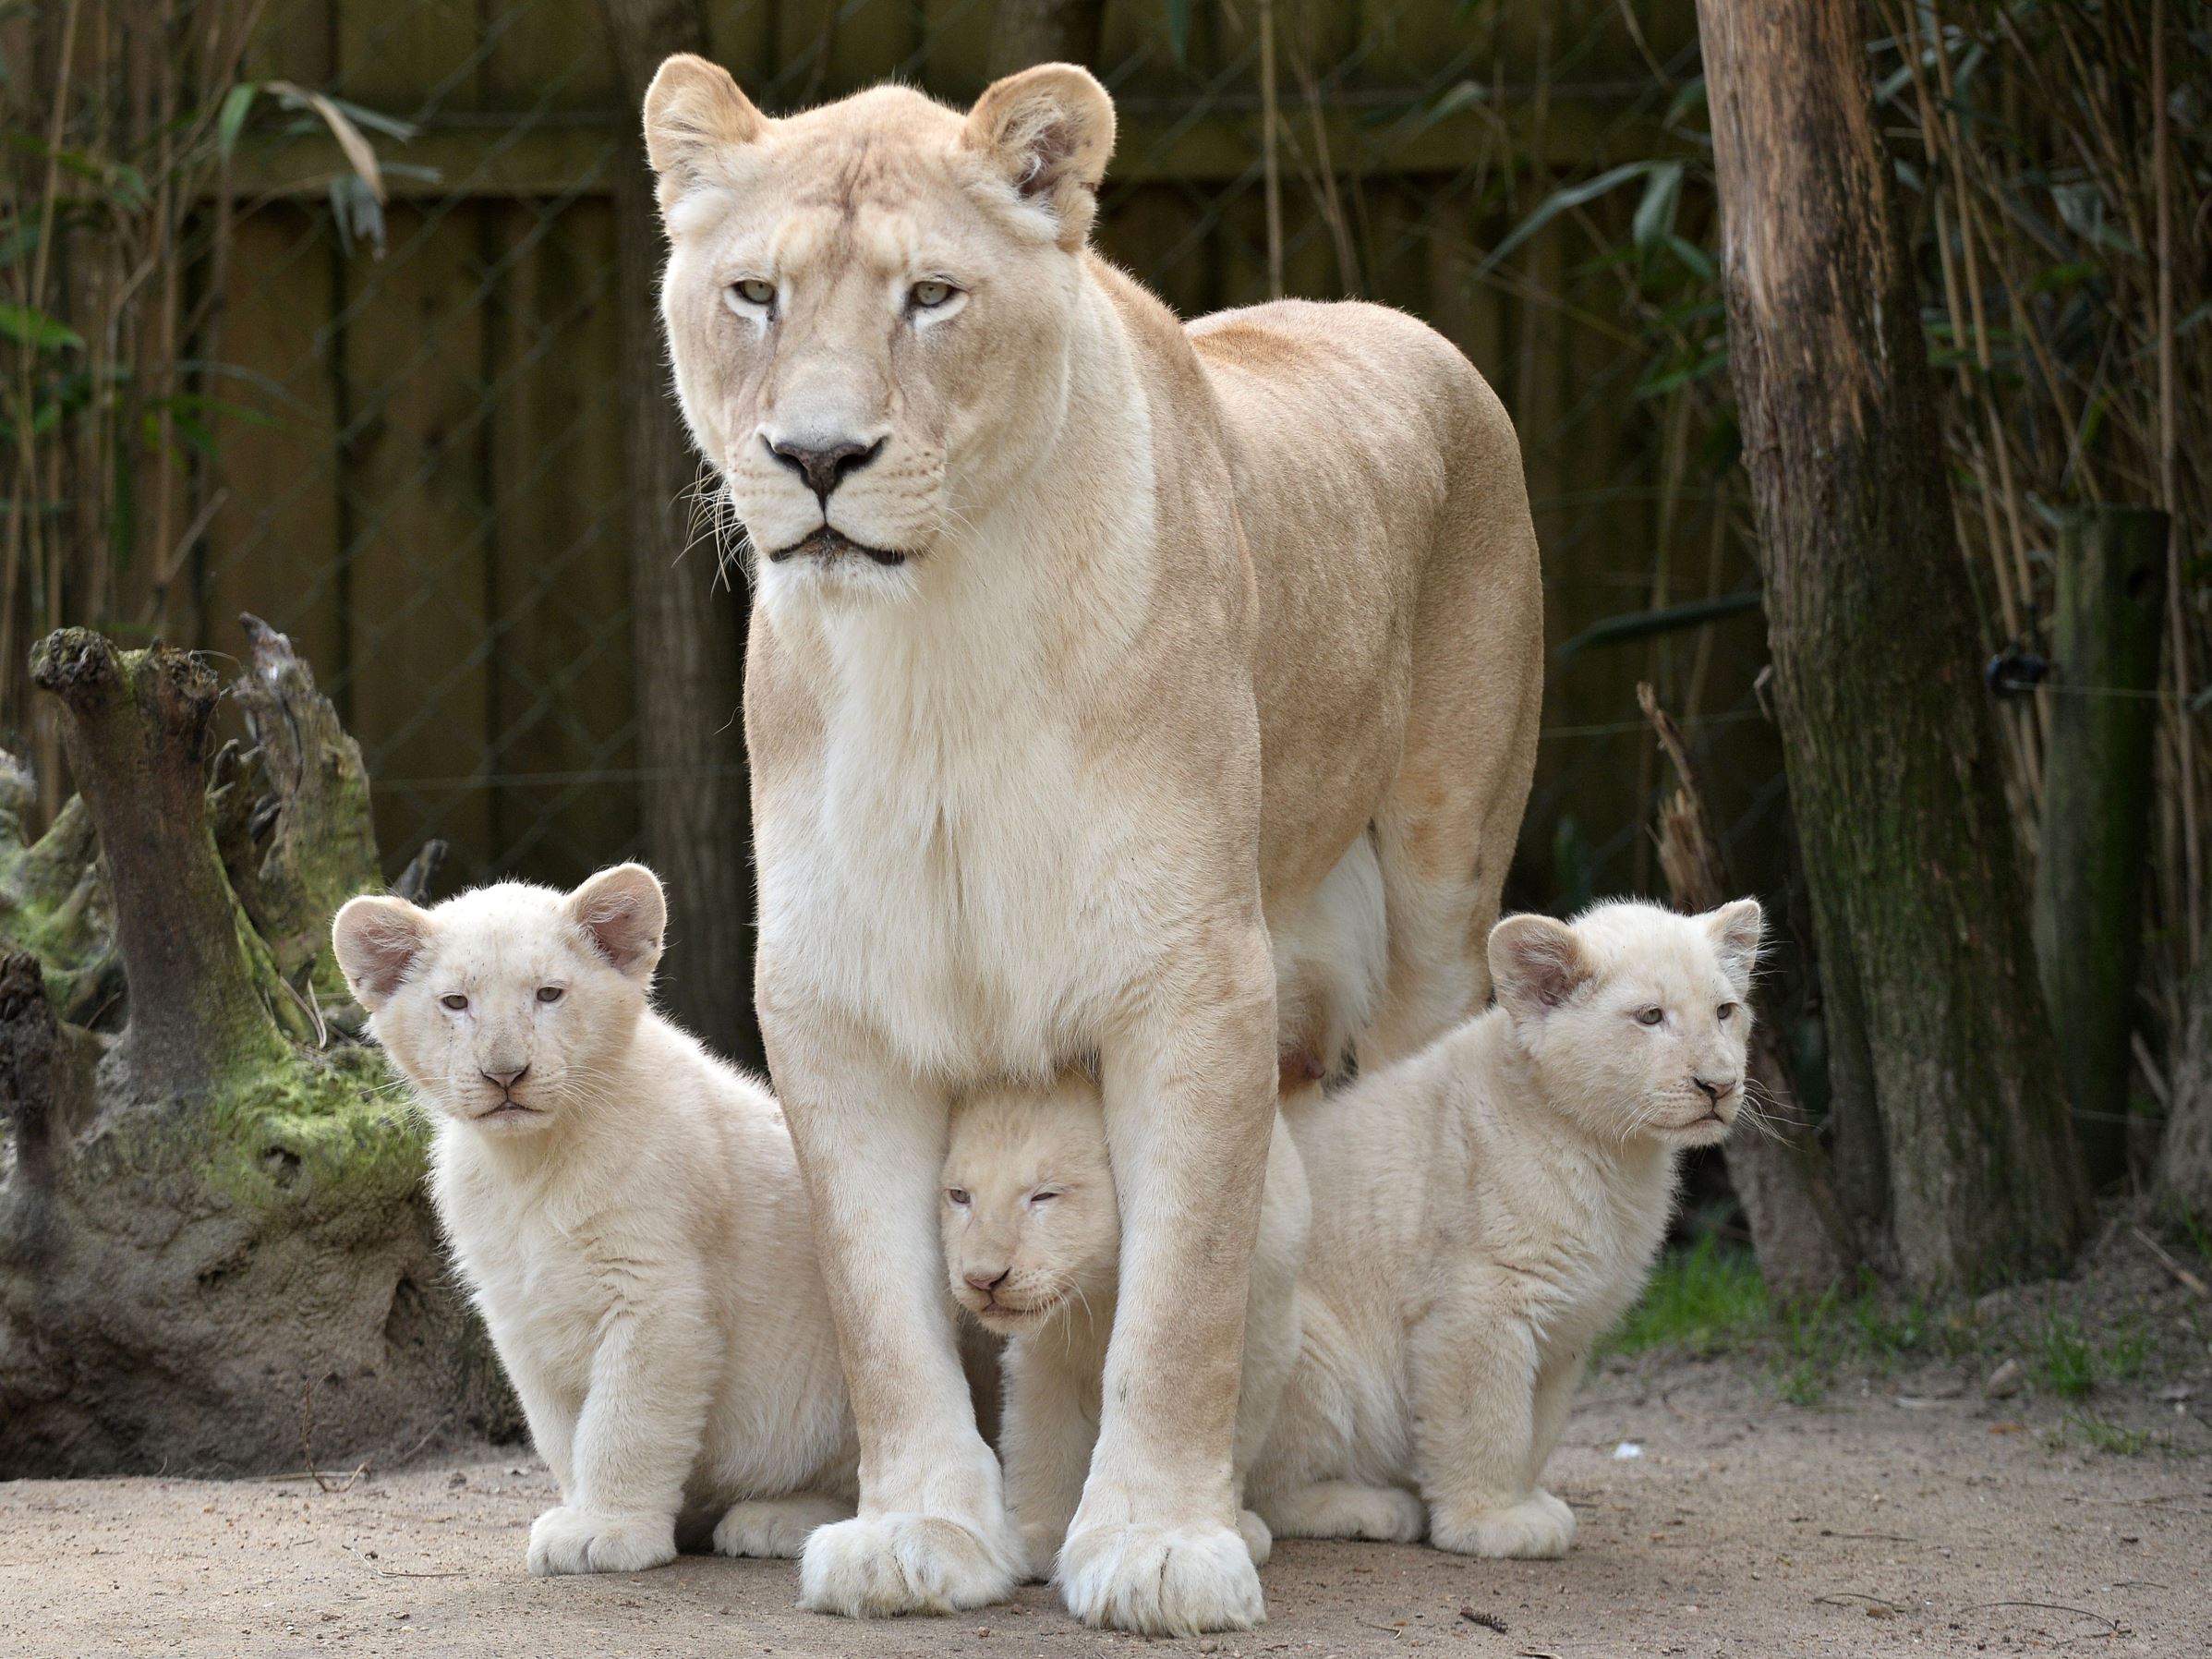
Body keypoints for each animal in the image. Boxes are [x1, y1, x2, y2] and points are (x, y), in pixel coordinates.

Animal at [643, 56, 1543, 1634]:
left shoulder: (1190, 983)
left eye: (929, 296)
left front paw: (1159, 1547)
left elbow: (1177, 1302)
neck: (933, 643)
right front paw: (919, 1535)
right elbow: (878, 1303)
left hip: (1442, 892)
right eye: (753, 293)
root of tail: (1392, 318)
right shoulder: (836, 995)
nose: (817, 455)